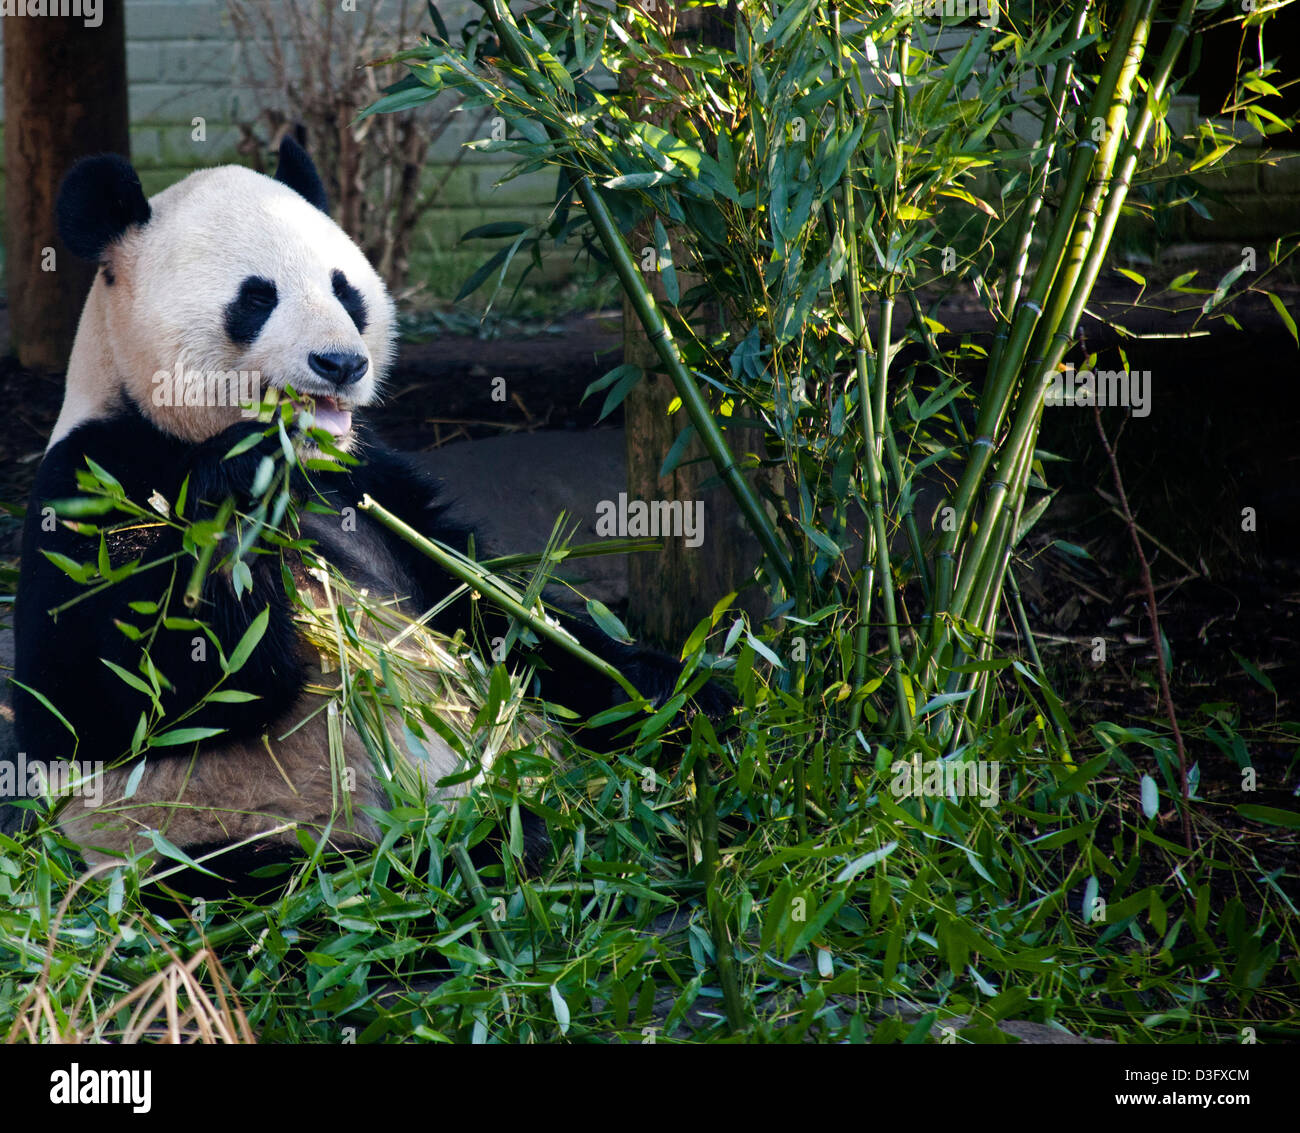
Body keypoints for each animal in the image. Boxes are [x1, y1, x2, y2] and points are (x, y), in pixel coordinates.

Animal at [5, 137, 728, 883]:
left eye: (344, 290)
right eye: (256, 298)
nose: (340, 362)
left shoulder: (371, 482)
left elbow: (497, 611)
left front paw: (670, 684)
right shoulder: (91, 483)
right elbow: (114, 702)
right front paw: (236, 489)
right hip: (226, 841)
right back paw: (494, 845)